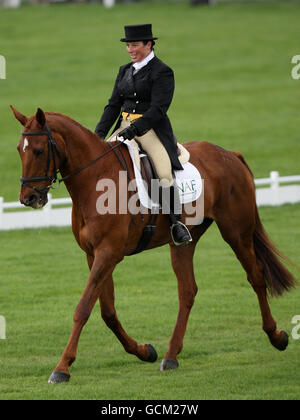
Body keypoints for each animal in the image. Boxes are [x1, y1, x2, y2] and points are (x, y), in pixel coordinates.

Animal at [11, 106, 296, 382]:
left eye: (38, 151)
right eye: (18, 150)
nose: (29, 198)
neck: (94, 179)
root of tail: (229, 154)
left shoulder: (108, 253)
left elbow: (83, 308)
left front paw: (62, 368)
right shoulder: (94, 255)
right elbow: (107, 311)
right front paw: (144, 351)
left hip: (236, 233)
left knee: (256, 276)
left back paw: (277, 336)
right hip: (184, 242)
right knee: (187, 291)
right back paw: (170, 356)